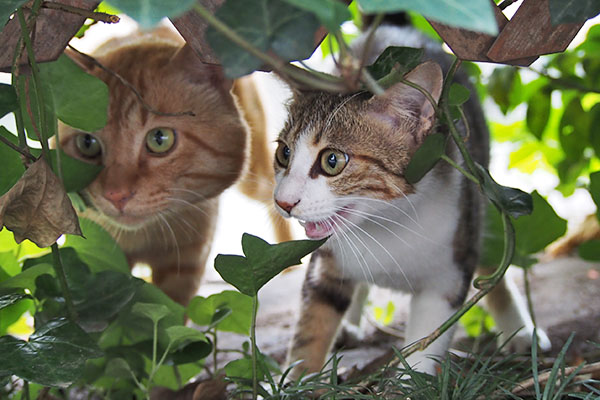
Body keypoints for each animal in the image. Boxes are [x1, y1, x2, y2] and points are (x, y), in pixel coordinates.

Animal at [58, 31, 282, 304]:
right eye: (87, 143)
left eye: (159, 139)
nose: (116, 196)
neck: (145, 236)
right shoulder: (106, 265)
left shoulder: (184, 267)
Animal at [274, 25, 552, 378]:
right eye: (283, 154)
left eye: (332, 161)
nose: (283, 202)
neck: (386, 226)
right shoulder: (325, 261)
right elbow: (312, 325)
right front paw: (298, 378)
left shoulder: (447, 276)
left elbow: (426, 341)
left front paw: (411, 379)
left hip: (481, 192)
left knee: (491, 259)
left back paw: (519, 329)